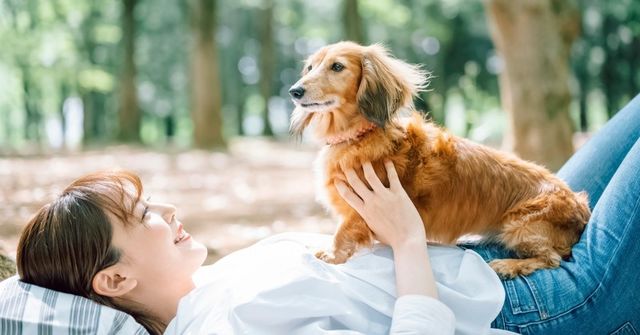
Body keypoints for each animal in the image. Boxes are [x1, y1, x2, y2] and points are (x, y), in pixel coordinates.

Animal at [290, 41, 592, 278]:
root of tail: (580, 206)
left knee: (551, 259)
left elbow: (343, 232)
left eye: (337, 67)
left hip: (520, 228)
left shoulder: (361, 208)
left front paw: (331, 256)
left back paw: (509, 265)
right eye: (310, 67)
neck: (359, 135)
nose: (294, 91)